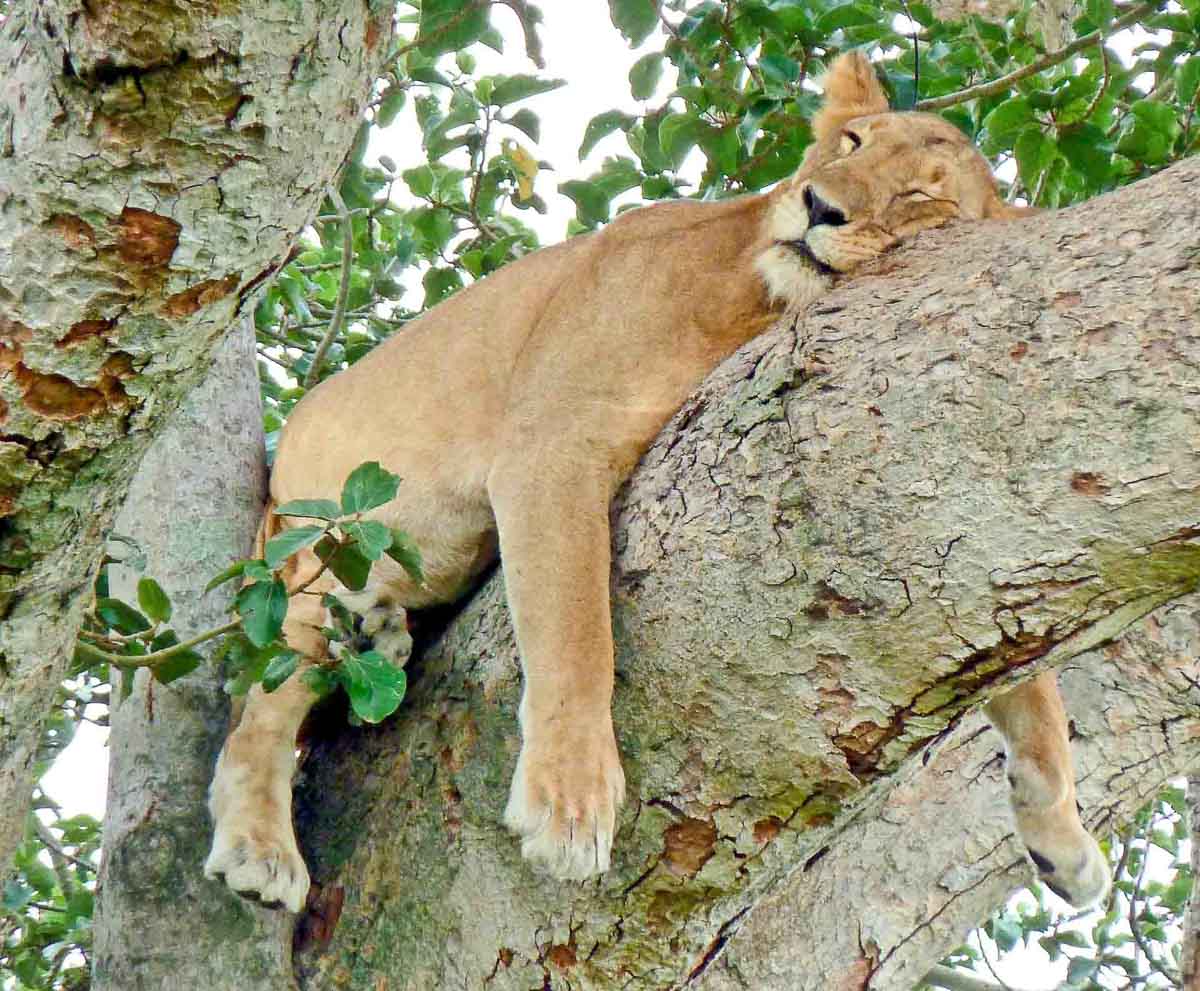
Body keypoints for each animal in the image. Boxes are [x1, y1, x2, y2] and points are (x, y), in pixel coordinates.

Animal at [204, 52, 1109, 913]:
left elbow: (1030, 678)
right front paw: (570, 802)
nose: (818, 206)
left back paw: (379, 639)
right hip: (311, 555)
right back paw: (261, 846)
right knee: (256, 712)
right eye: (852, 144)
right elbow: (576, 632)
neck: (751, 295)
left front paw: (1063, 836)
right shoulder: (550, 445)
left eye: (919, 195)